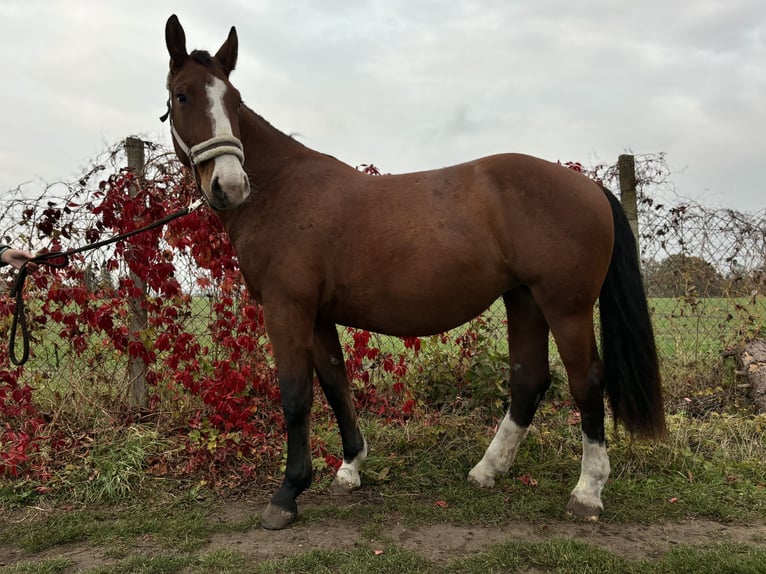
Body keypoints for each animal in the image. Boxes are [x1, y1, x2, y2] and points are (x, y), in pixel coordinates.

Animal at [165, 13, 668, 532]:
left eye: (234, 100)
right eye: (182, 95)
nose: (230, 185)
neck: (282, 190)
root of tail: (589, 187)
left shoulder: (288, 308)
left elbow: (296, 394)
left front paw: (288, 494)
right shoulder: (317, 314)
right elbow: (335, 383)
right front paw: (350, 467)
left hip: (566, 307)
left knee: (586, 380)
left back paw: (587, 492)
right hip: (524, 299)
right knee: (529, 379)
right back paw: (487, 470)